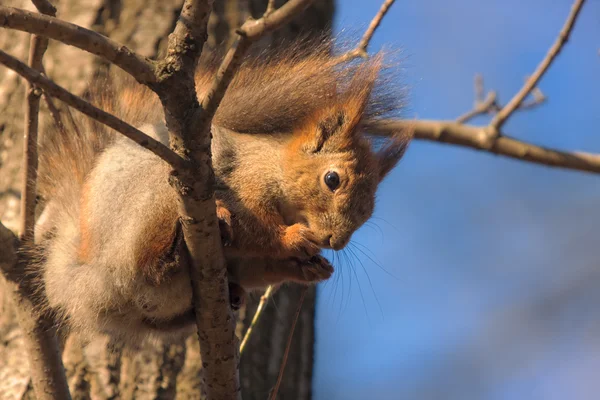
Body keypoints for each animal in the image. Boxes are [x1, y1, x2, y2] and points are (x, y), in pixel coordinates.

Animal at [34, 43, 412, 344]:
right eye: (332, 179)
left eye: (368, 212)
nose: (335, 241)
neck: (277, 168)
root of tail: (83, 280)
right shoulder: (245, 182)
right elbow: (253, 228)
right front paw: (292, 239)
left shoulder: (245, 256)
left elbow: (255, 263)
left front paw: (311, 268)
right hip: (154, 203)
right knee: (147, 262)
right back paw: (173, 250)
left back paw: (229, 293)